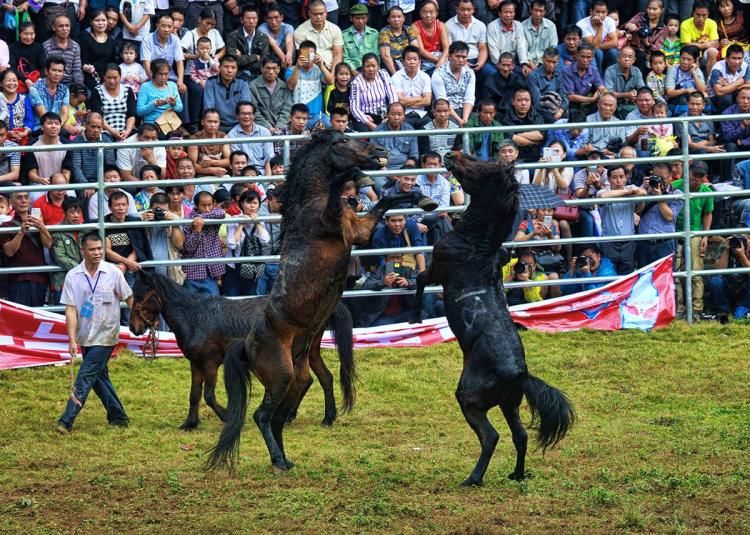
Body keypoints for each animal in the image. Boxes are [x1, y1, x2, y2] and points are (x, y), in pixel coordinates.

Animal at [130, 272, 358, 432]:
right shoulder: (195, 363)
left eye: (140, 295)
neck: (195, 315)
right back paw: (322, 417)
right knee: (322, 378)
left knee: (307, 379)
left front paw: (226, 416)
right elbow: (194, 394)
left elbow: (209, 395)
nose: (133, 328)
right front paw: (190, 423)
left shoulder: (210, 363)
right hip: (309, 353)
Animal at [207, 131, 440, 474]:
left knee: (278, 417)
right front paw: (353, 175)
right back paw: (279, 460)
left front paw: (425, 200)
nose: (379, 151)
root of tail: (246, 344)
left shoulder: (359, 229)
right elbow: (359, 194)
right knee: (262, 416)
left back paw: (285, 458)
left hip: (298, 378)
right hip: (281, 377)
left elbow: (387, 201)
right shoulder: (349, 228)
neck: (309, 205)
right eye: (341, 140)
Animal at [412, 153, 576, 488]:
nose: (451, 155)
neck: (478, 242)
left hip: (470, 399)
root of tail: (520, 374)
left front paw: (414, 316)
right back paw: (517, 474)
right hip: (509, 403)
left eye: (479, 165)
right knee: (520, 435)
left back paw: (473, 478)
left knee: (491, 437)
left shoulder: (437, 269)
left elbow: (420, 280)